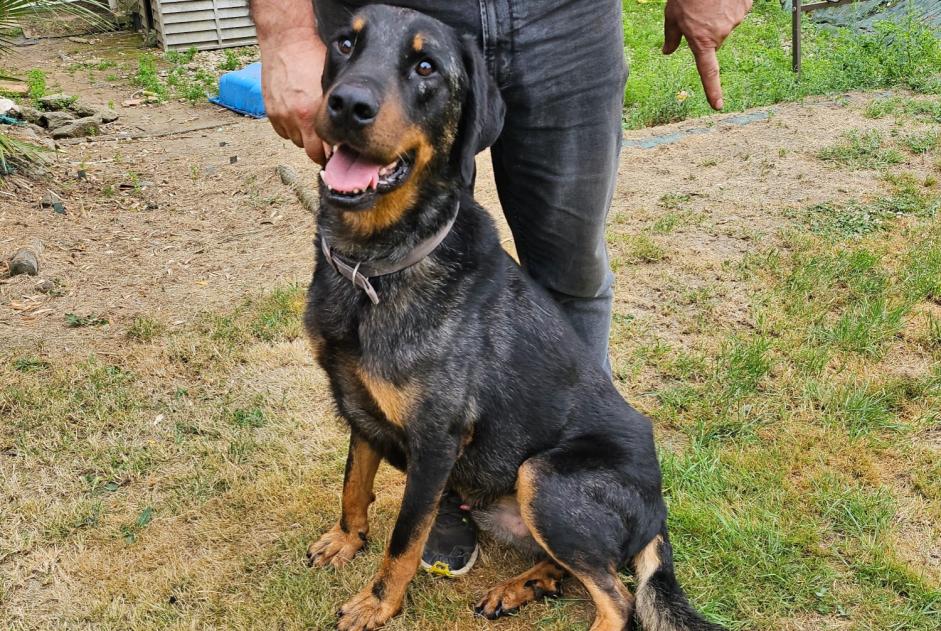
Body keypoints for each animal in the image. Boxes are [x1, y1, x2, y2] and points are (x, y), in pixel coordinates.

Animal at [304, 6, 724, 631]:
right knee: (572, 571)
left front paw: (376, 603)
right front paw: (345, 539)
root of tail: (659, 515)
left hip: (541, 476)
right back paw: (518, 587)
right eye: (345, 44)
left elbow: (403, 539)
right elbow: (353, 484)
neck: (374, 267)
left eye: (426, 67)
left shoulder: (436, 441)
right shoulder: (359, 406)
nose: (347, 104)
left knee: (618, 597)